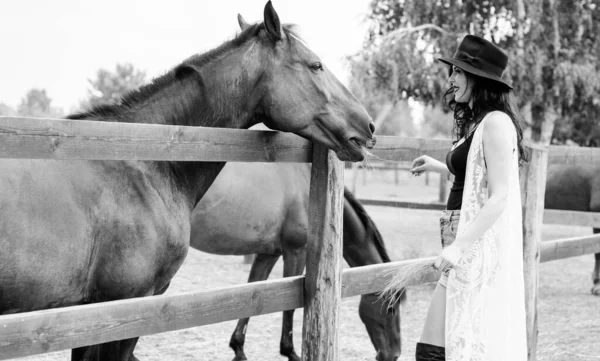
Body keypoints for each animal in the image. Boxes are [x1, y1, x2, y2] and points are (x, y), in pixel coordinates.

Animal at [190, 159, 400, 360]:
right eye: (391, 309)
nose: (394, 354)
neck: (308, 188)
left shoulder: (268, 255)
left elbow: (252, 295)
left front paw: (238, 348)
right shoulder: (296, 253)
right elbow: (290, 306)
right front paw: (289, 351)